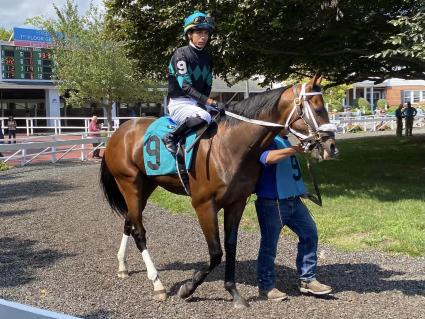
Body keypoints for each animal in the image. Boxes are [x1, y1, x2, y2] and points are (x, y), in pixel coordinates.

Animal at [99, 75, 334, 310]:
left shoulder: (236, 202)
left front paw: (234, 292)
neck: (229, 145)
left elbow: (230, 247)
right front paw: (188, 288)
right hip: (129, 183)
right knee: (138, 230)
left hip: (146, 186)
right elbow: (215, 252)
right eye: (317, 108)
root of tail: (119, 131)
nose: (331, 146)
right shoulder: (204, 205)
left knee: (129, 222)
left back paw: (122, 266)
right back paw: (158, 284)